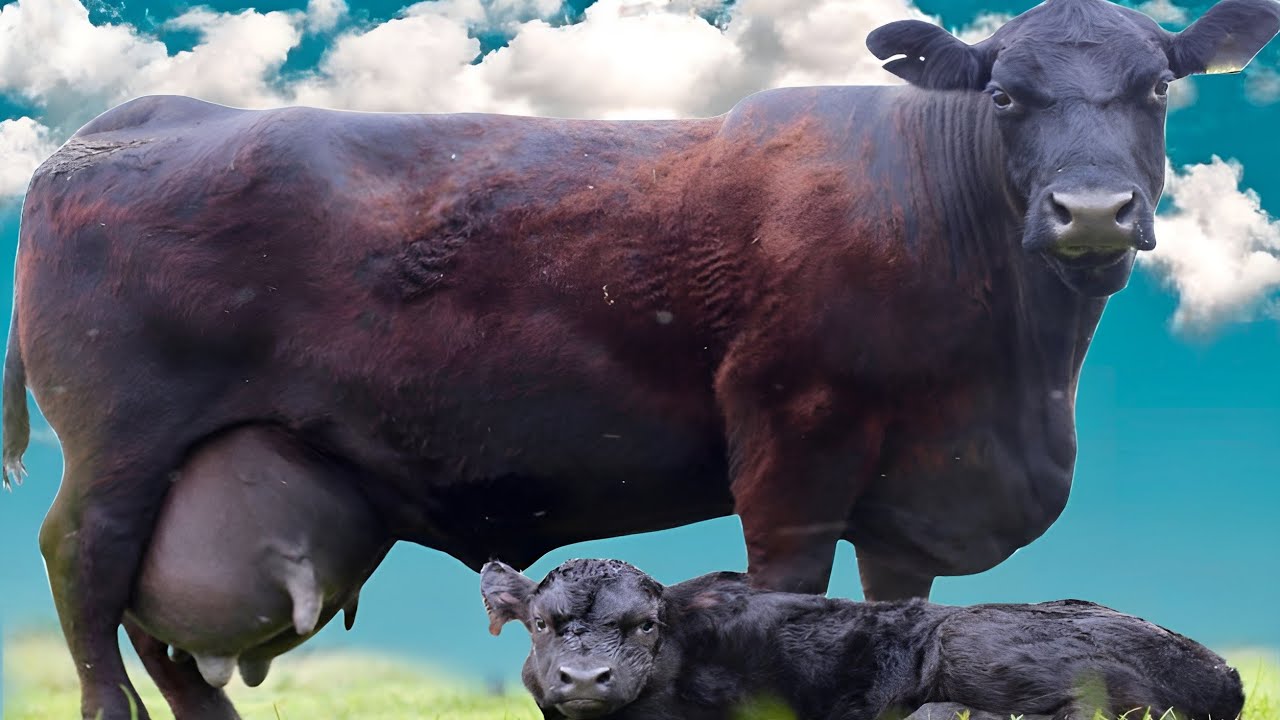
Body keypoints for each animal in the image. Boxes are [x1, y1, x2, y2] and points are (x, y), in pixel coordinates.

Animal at [3, 0, 1277, 717]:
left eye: (1155, 87)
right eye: (1005, 94)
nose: (1091, 211)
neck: (1010, 385)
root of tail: (139, 118)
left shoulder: (909, 500)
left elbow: (893, 614)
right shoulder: (791, 439)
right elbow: (786, 589)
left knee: (159, 618)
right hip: (121, 446)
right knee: (86, 573)